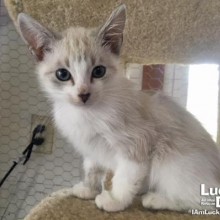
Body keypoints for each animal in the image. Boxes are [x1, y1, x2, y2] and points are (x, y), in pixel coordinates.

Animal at [17, 4, 220, 211]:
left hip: (173, 162)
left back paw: (156, 199)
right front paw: (88, 190)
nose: (83, 94)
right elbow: (91, 168)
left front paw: (115, 200)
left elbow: (125, 177)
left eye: (99, 71)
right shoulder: (91, 147)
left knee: (200, 200)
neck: (86, 114)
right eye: (62, 74)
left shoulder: (137, 142)